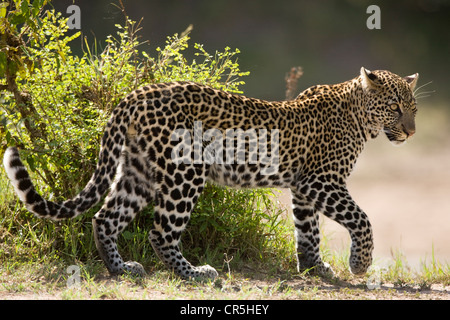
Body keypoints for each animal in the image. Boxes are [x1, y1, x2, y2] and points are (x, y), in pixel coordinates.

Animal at [3, 67, 418, 280]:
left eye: (413, 108)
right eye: (395, 107)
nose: (412, 132)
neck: (360, 117)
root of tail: (135, 95)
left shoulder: (303, 187)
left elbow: (308, 229)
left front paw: (315, 268)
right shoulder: (322, 180)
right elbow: (361, 219)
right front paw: (359, 264)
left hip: (138, 170)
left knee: (106, 216)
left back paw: (121, 269)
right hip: (185, 171)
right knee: (160, 231)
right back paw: (194, 273)